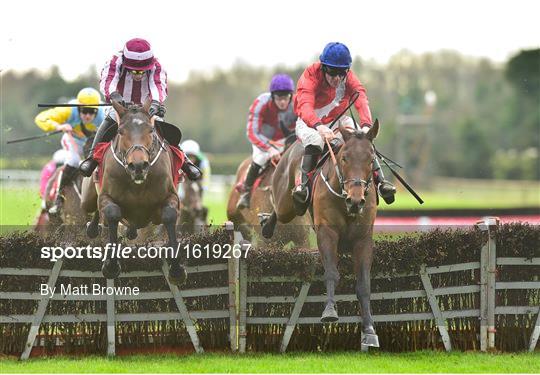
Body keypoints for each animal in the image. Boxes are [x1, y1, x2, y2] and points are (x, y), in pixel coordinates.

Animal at [81, 100, 187, 284]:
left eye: (150, 130)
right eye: (120, 132)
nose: (138, 166)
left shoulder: (171, 196)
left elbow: (169, 215)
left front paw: (176, 269)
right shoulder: (106, 196)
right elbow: (112, 212)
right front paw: (111, 265)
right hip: (87, 197)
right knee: (94, 209)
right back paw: (93, 227)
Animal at [262, 122, 380, 348]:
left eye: (371, 160)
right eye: (344, 158)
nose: (356, 200)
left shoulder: (363, 240)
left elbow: (364, 284)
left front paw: (369, 330)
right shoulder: (327, 233)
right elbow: (332, 273)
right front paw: (330, 311)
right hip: (286, 203)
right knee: (279, 209)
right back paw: (266, 223)